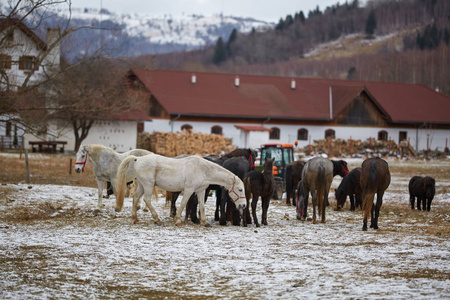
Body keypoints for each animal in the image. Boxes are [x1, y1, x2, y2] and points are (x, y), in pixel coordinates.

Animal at [116, 154, 246, 226]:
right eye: (240, 189)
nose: (243, 205)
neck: (202, 169)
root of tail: (138, 159)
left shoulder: (201, 190)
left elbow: (201, 206)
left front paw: (205, 222)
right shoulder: (189, 189)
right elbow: (183, 204)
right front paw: (178, 220)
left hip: (142, 185)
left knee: (135, 198)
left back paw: (135, 219)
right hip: (148, 185)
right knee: (147, 200)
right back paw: (157, 220)